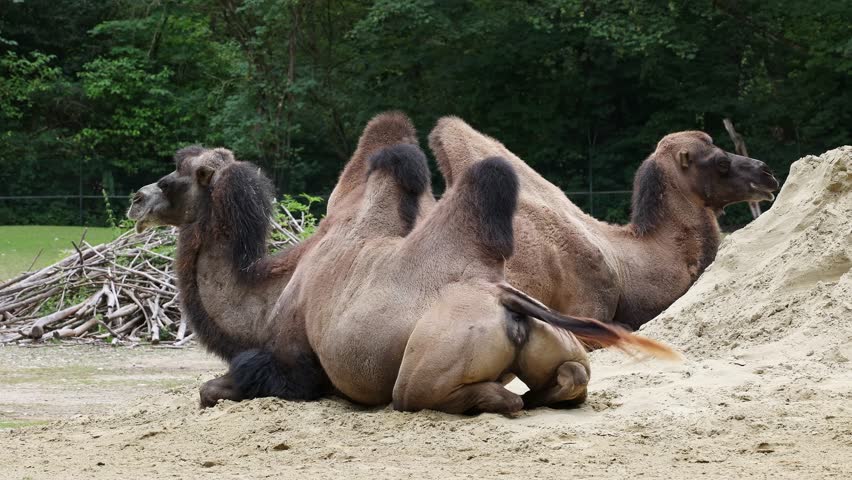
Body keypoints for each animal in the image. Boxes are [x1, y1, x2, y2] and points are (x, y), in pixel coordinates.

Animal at [128, 112, 675, 413]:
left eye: (177, 176)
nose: (136, 199)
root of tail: (510, 305)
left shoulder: (291, 363)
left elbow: (212, 389)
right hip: (561, 341)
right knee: (571, 376)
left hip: (423, 368)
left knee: (422, 394)